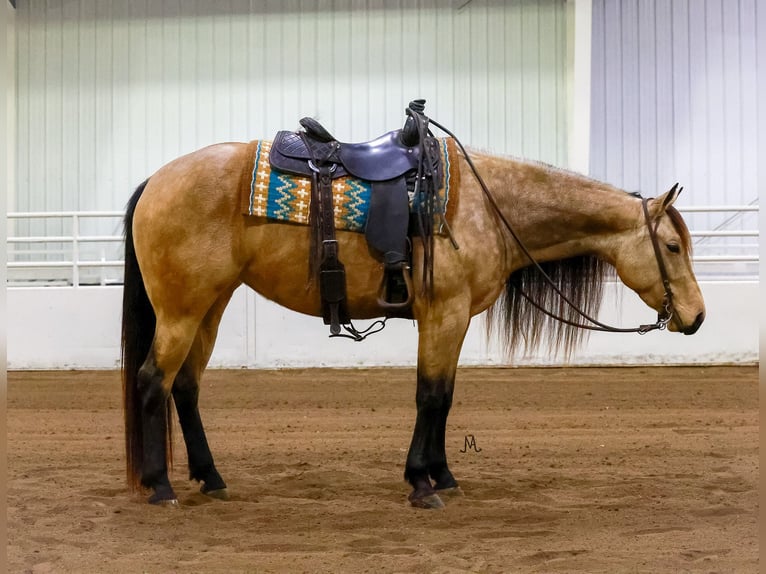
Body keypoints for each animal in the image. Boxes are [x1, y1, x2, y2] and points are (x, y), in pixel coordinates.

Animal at [121, 106, 708, 510]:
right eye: (672, 247)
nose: (697, 316)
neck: (487, 206)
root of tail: (156, 181)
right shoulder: (444, 315)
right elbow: (430, 397)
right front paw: (423, 484)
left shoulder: (456, 320)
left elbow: (444, 398)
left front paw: (441, 474)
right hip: (181, 311)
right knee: (152, 382)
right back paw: (160, 486)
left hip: (210, 306)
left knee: (185, 387)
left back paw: (212, 479)